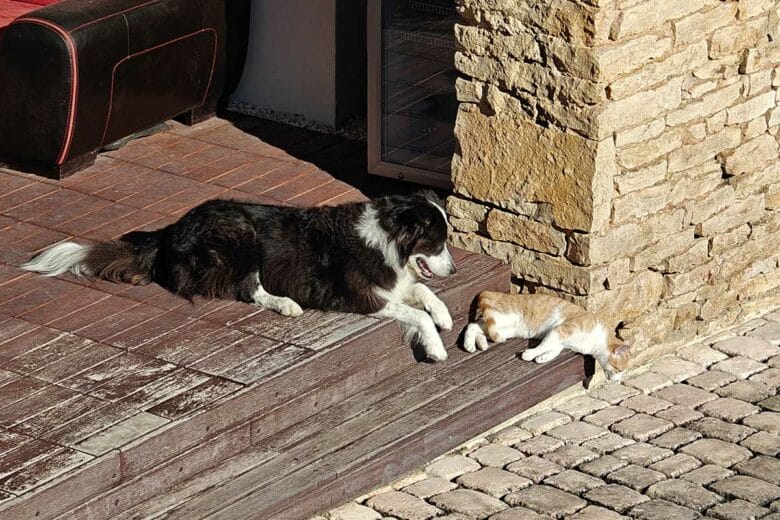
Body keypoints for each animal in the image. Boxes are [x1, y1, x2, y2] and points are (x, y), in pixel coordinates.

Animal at [22, 193, 458, 360]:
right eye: (438, 243)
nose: (454, 268)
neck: (388, 236)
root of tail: (171, 230)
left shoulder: (396, 284)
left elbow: (423, 292)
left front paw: (445, 316)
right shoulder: (364, 296)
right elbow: (416, 312)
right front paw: (436, 347)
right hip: (242, 233)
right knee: (249, 288)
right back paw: (286, 303)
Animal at [466, 292, 632, 382]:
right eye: (619, 370)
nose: (618, 381)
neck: (594, 343)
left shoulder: (560, 341)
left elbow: (553, 350)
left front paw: (542, 358)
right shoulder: (560, 330)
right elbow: (544, 345)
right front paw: (530, 354)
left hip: (505, 328)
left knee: (475, 326)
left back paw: (476, 344)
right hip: (503, 320)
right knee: (473, 325)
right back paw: (471, 345)